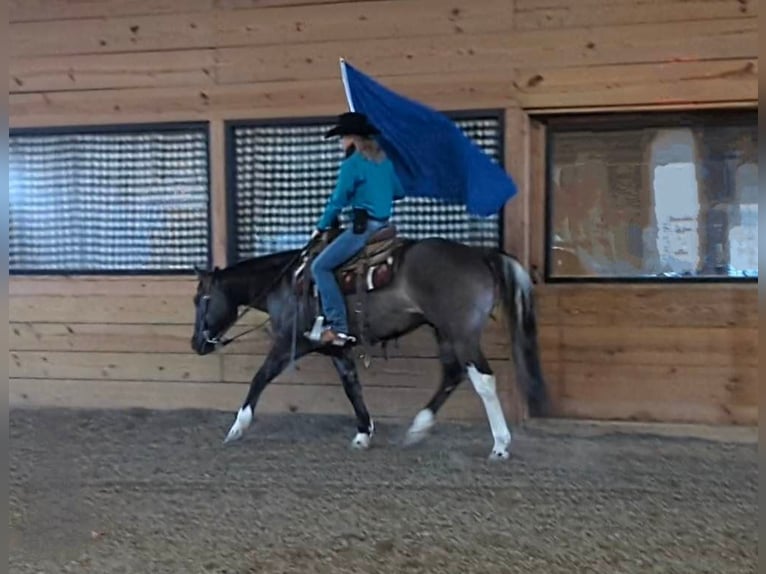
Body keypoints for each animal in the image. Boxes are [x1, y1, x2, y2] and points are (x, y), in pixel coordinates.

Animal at [191, 227, 552, 462]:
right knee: (452, 375)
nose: (196, 344)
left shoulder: (286, 344)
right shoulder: (337, 349)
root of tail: (479, 253)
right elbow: (352, 387)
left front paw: (237, 428)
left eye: (201, 299)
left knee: (483, 380)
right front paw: (363, 434)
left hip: (461, 333)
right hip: (444, 332)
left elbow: (259, 379)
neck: (287, 282)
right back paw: (417, 429)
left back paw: (500, 445)